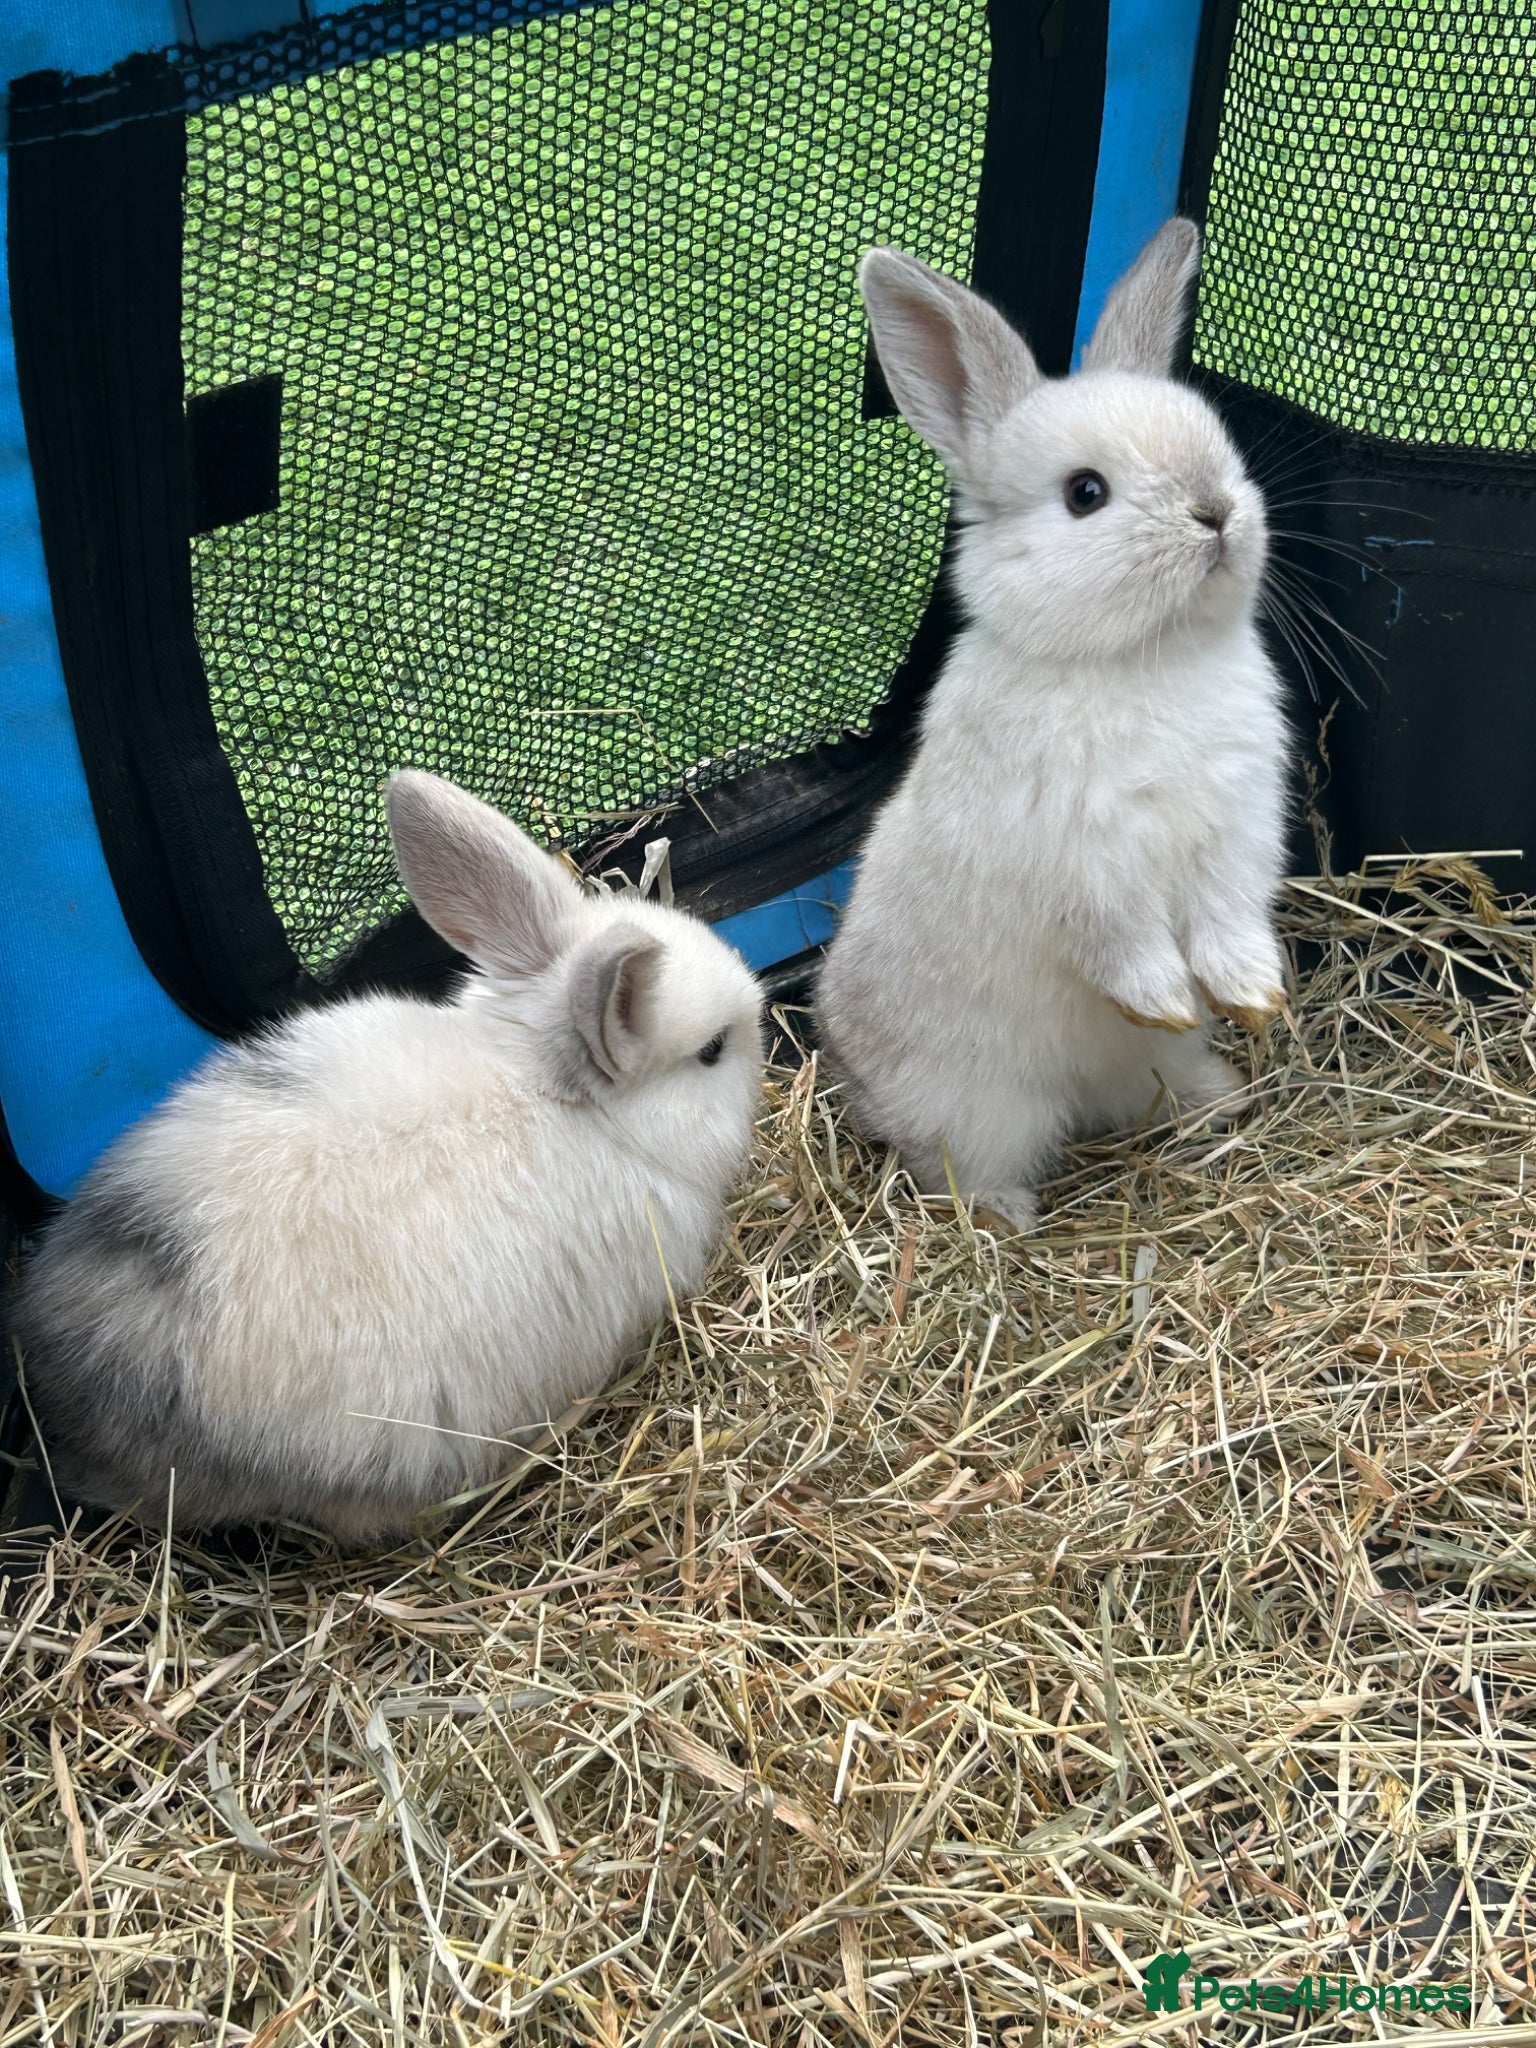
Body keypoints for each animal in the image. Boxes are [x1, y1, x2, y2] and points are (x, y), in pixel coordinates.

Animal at [816, 219, 1289, 1233]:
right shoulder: (1080, 859)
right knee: (953, 1160)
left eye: (1221, 446)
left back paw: (1219, 1095)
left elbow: (1228, 919)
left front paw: (1252, 996)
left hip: (1140, 1074)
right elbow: (1122, 939)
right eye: (1085, 493)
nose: (1216, 512)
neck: (1141, 660)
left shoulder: (1237, 832)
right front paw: (1167, 996)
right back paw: (1004, 1216)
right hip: (982, 1107)